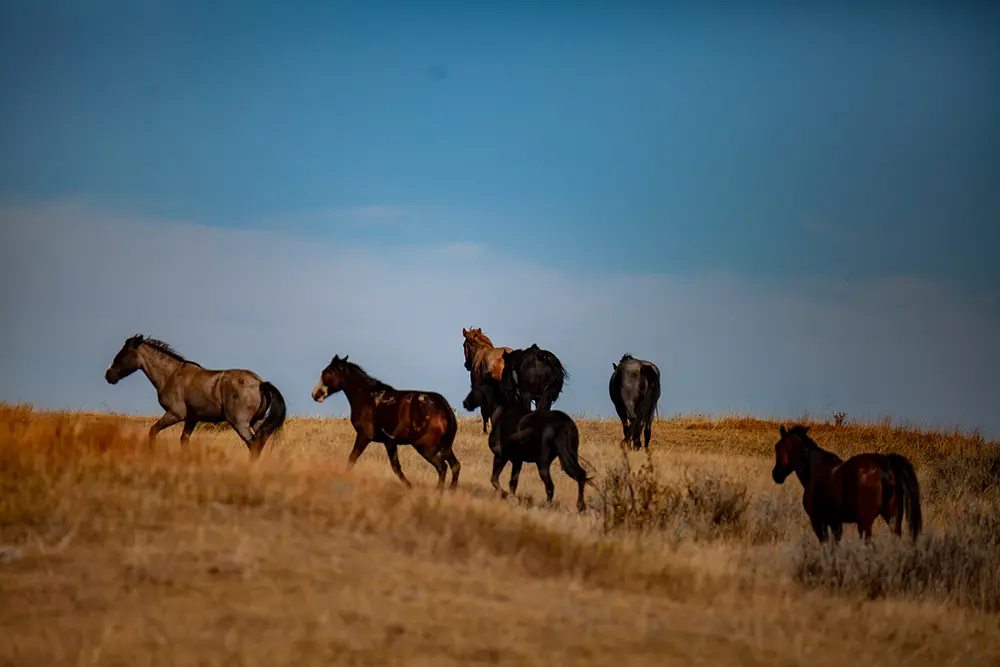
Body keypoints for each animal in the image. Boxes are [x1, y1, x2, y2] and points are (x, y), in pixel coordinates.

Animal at [102, 334, 286, 460]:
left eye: (122, 354)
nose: (108, 376)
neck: (171, 375)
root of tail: (260, 383)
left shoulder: (175, 414)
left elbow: (153, 431)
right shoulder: (192, 419)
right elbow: (184, 440)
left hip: (240, 423)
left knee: (253, 444)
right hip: (257, 421)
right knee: (261, 443)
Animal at [310, 354, 462, 490]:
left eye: (327, 372)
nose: (315, 395)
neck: (366, 398)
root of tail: (443, 408)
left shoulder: (365, 437)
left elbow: (352, 459)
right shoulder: (389, 442)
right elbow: (396, 467)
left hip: (426, 447)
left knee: (442, 467)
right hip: (445, 447)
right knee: (455, 465)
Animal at [462, 376, 588, 512]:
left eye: (474, 388)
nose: (465, 403)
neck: (502, 413)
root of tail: (564, 425)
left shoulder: (501, 456)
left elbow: (496, 480)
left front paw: (509, 497)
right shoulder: (517, 460)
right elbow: (511, 482)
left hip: (543, 463)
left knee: (550, 486)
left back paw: (548, 507)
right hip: (567, 457)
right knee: (580, 476)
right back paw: (580, 506)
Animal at [768, 426, 924, 544]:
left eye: (778, 447)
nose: (776, 475)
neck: (815, 468)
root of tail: (885, 464)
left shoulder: (818, 521)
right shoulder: (836, 523)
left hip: (865, 522)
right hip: (892, 518)